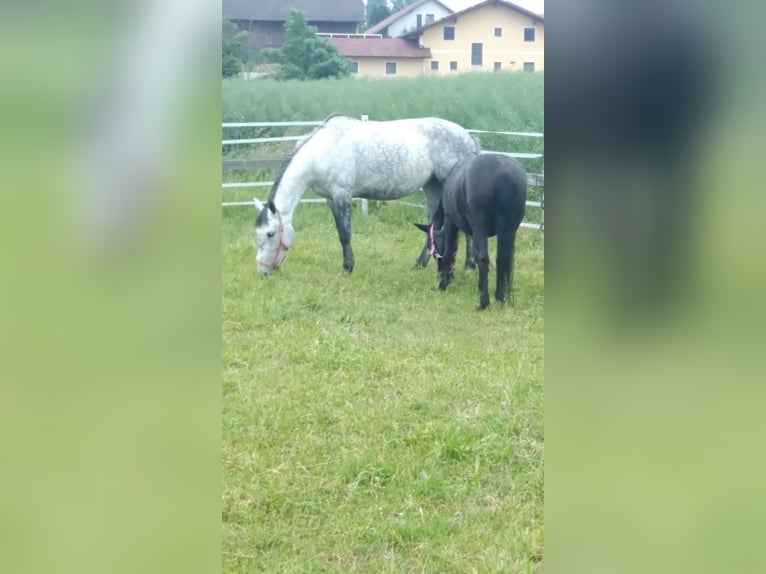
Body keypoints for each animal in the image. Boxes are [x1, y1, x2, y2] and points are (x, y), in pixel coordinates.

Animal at [416, 153, 532, 310]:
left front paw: (442, 285)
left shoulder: (450, 222)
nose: (439, 273)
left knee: (483, 258)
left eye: (432, 248)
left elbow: (449, 252)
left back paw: (483, 302)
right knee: (503, 260)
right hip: (508, 229)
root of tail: (503, 174)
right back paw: (501, 299)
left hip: (480, 227)